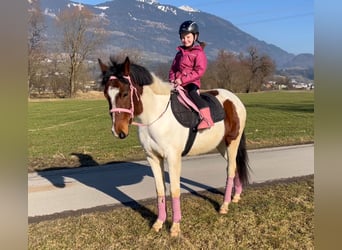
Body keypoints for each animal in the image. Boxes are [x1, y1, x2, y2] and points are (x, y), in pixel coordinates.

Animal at [97, 57, 250, 238]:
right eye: (106, 95)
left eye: (125, 93)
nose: (118, 131)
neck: (155, 116)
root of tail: (234, 99)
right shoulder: (153, 158)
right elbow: (160, 190)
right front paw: (159, 223)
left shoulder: (173, 158)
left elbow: (174, 190)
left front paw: (175, 226)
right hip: (221, 146)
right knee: (235, 167)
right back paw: (236, 196)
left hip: (232, 142)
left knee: (231, 169)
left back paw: (225, 205)